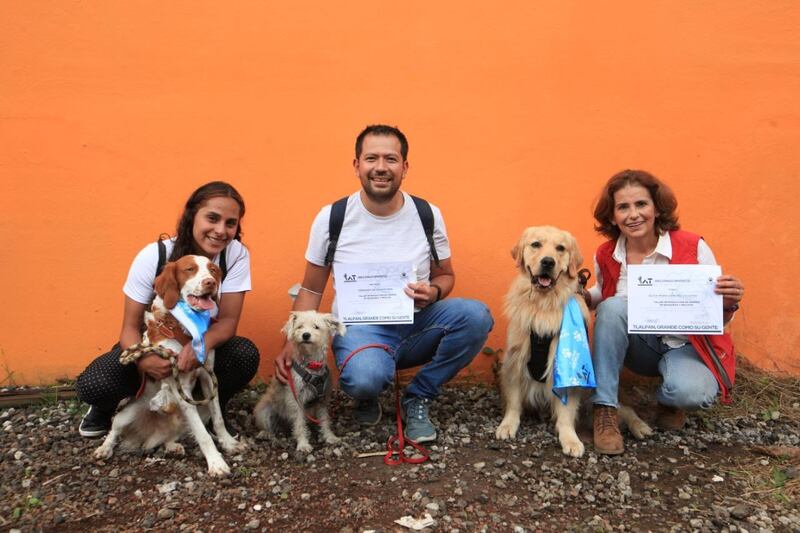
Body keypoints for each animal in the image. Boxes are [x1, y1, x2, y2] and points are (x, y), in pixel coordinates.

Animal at [93, 256, 244, 476]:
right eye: (189, 269)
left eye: (213, 270)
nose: (210, 282)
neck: (183, 326)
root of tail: (153, 433)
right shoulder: (179, 383)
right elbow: (203, 434)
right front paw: (216, 463)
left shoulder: (208, 377)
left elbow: (218, 419)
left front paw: (229, 443)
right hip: (128, 413)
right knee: (114, 429)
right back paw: (104, 448)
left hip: (198, 411)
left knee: (171, 436)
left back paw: (173, 446)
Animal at [496, 227, 652, 456]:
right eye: (536, 244)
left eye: (560, 248)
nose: (548, 262)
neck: (544, 304)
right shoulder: (515, 359)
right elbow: (514, 401)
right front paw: (508, 425)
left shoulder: (567, 366)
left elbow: (566, 411)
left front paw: (570, 439)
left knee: (624, 409)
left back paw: (639, 426)